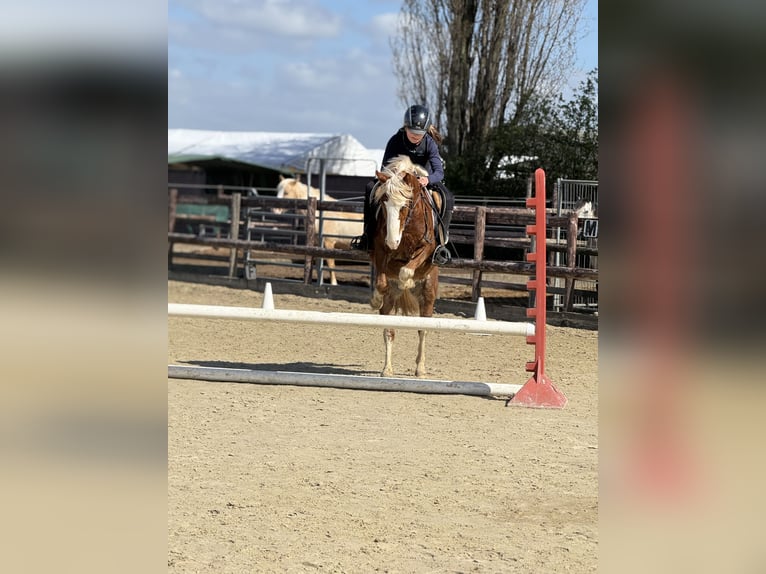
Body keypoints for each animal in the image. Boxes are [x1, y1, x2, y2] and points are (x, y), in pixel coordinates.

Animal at [368, 155, 440, 378]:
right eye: (383, 203)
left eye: (405, 206)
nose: (393, 242)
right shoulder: (380, 248)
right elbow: (382, 282)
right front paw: (375, 299)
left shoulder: (428, 247)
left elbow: (406, 270)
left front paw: (406, 283)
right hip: (391, 305)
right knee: (389, 330)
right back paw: (387, 369)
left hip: (428, 294)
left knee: (423, 329)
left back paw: (420, 369)